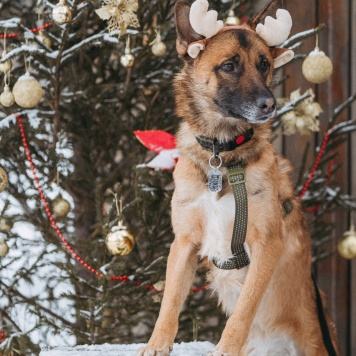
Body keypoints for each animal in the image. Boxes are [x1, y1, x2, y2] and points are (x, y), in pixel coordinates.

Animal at [137, 0, 340, 356]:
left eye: (264, 65)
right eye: (229, 66)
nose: (269, 104)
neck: (223, 156)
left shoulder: (266, 244)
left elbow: (244, 309)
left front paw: (226, 348)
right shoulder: (184, 242)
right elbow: (170, 301)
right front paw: (157, 344)